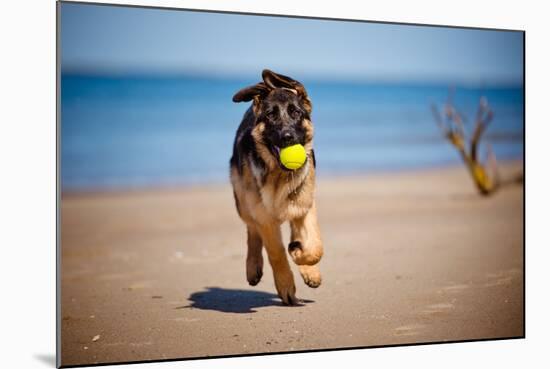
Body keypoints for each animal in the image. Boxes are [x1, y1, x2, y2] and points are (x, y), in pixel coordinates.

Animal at [232, 69, 326, 304]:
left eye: (296, 113)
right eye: (270, 115)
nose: (287, 137)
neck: (280, 176)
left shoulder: (305, 206)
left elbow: (315, 246)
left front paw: (302, 257)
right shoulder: (265, 219)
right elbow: (276, 253)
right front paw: (286, 285)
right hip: (243, 201)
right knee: (251, 228)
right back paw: (253, 266)